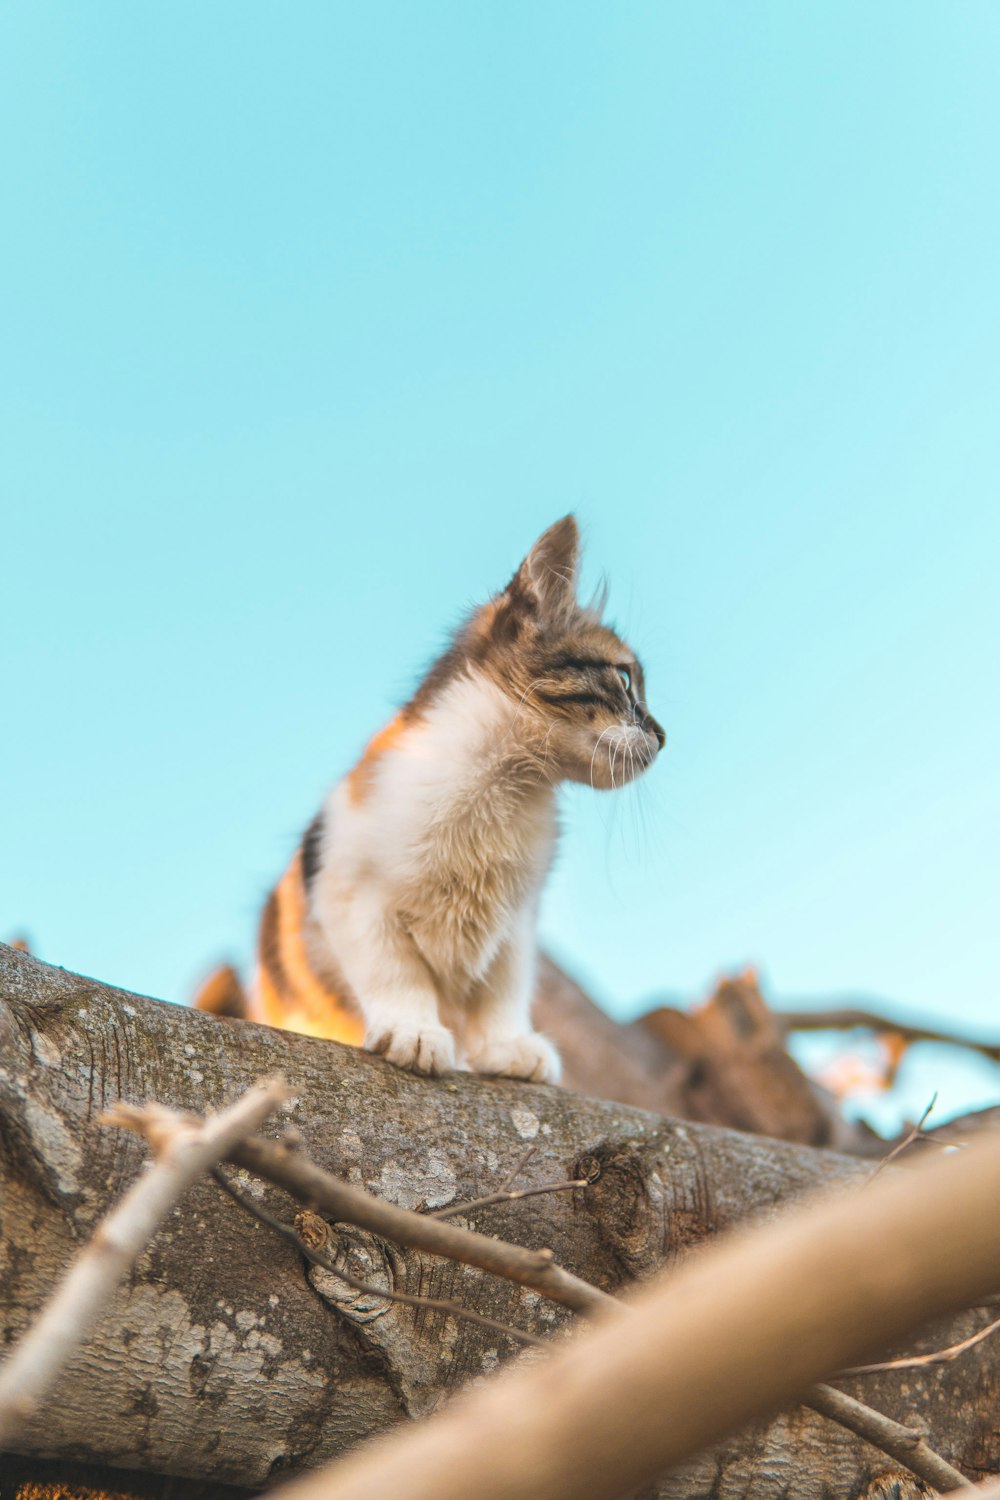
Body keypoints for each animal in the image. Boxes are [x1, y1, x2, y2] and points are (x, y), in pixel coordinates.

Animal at [244, 519, 665, 1080]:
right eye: (623, 678)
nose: (664, 736)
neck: (505, 782)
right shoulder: (351, 895)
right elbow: (395, 972)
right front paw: (414, 1030)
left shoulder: (517, 922)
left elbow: (504, 989)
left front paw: (506, 1046)